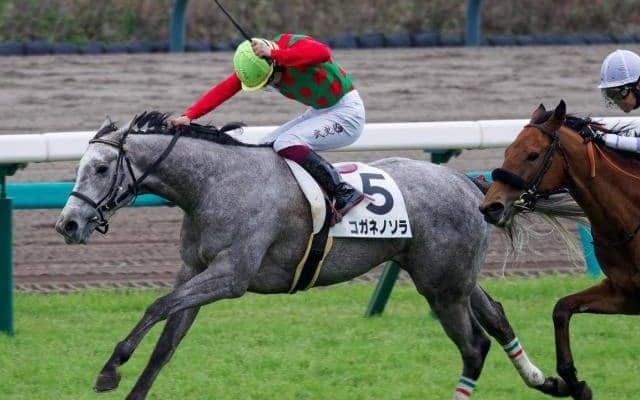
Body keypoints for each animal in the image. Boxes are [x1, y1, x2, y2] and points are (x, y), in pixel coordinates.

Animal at [55, 111, 576, 400]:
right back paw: (551, 382)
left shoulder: (230, 276)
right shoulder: (196, 271)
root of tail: (466, 183)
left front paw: (110, 369)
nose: (68, 224)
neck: (214, 184)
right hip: (451, 277)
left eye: (100, 168)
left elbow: (157, 307)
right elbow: (166, 342)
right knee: (498, 317)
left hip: (442, 287)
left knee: (474, 346)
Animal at [479, 99, 640, 400]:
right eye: (507, 151)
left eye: (532, 154)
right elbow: (561, 308)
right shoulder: (625, 293)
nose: (490, 207)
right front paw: (575, 384)